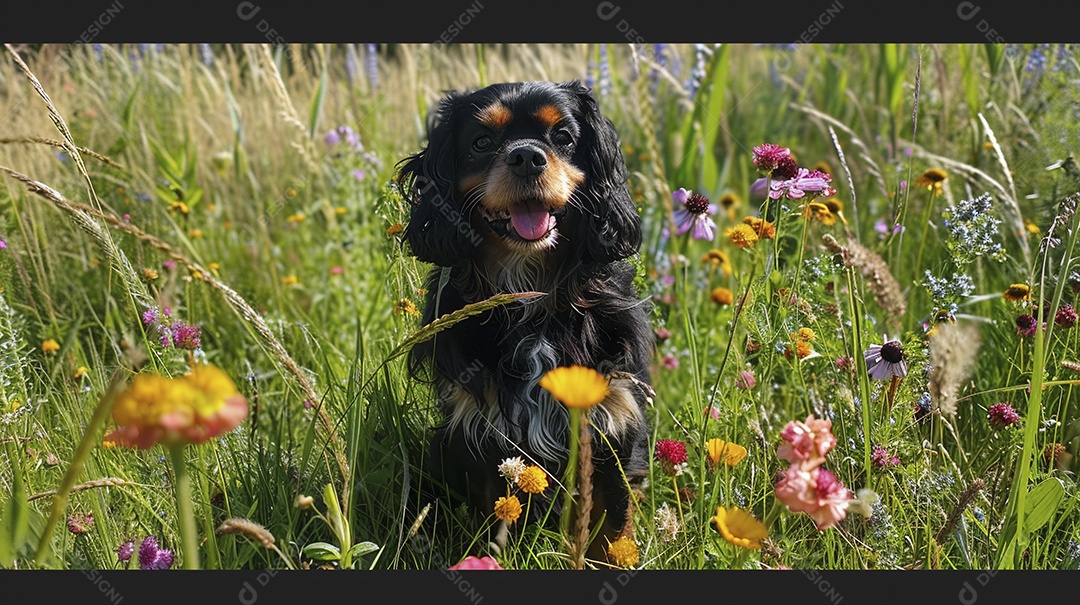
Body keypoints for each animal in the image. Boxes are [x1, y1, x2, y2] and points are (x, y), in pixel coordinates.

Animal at [395, 80, 648, 557]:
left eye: (563, 137)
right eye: (481, 142)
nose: (527, 156)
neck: (532, 297)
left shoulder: (612, 422)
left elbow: (613, 525)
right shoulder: (480, 429)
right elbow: (495, 515)